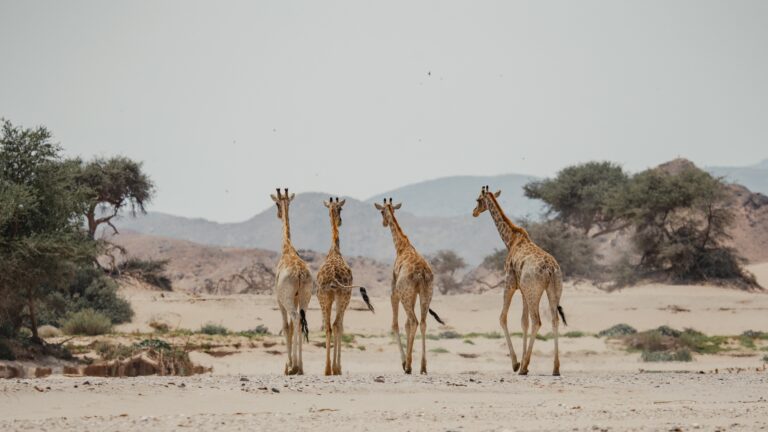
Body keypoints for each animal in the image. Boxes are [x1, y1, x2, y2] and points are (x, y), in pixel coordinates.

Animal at [316, 197, 375, 376]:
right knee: (336, 325)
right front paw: (339, 367)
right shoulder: (345, 297)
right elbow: (340, 326)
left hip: (324, 297)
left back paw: (327, 369)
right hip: (343, 296)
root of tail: (333, 278)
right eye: (341, 209)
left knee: (328, 326)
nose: (341, 221)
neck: (335, 250)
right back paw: (335, 368)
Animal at [374, 198, 445, 374]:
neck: (401, 247)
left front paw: (404, 362)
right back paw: (423, 366)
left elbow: (395, 324)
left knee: (414, 321)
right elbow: (406, 325)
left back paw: (408, 365)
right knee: (423, 322)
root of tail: (422, 274)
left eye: (381, 211)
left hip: (405, 295)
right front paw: (409, 361)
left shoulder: (394, 292)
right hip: (426, 293)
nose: (383, 223)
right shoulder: (413, 295)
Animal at [472, 186, 567, 376]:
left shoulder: (509, 283)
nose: (474, 212)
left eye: (478, 200)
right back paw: (555, 368)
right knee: (554, 320)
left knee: (537, 321)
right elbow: (523, 322)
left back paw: (523, 367)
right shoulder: (523, 290)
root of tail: (551, 269)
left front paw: (516, 363)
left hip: (534, 291)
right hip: (553, 290)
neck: (510, 240)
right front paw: (523, 362)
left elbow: (503, 318)